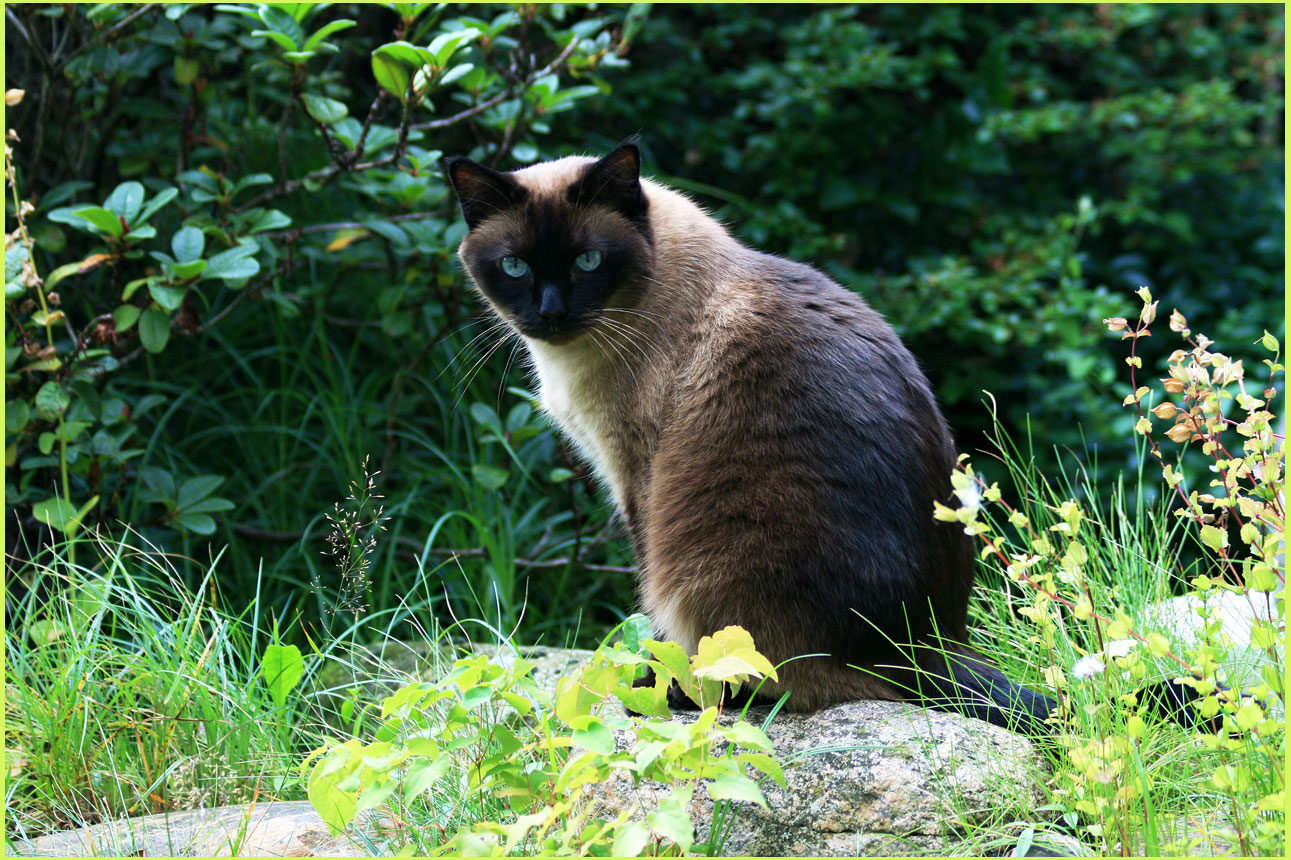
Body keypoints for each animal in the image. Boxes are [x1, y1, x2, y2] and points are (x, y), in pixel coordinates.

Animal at [438, 140, 1053, 728]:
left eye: (588, 260)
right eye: (514, 267)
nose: (550, 313)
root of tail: (918, 650)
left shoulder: (637, 479)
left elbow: (652, 605)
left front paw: (649, 682)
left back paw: (678, 695)